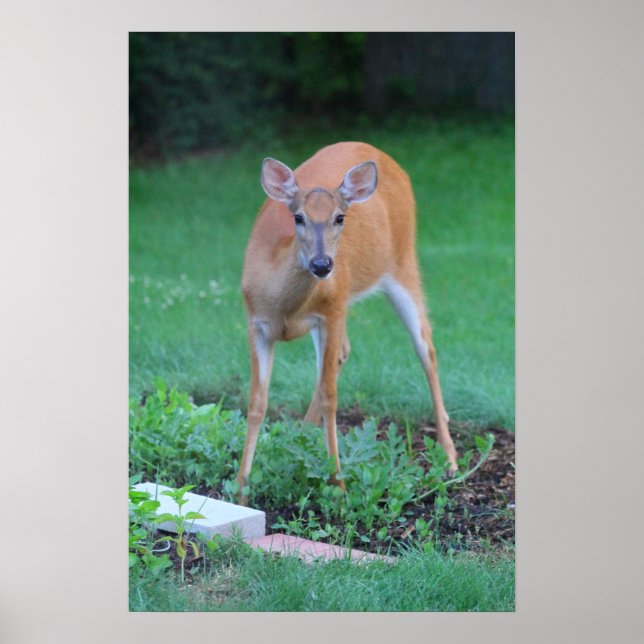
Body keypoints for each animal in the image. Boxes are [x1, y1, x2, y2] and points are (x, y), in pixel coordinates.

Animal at [236, 141, 457, 505]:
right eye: (298, 217)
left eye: (340, 217)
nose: (322, 265)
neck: (284, 308)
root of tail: (380, 153)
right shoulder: (256, 323)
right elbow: (257, 402)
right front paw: (241, 487)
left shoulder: (333, 311)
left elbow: (331, 396)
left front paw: (338, 485)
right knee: (343, 354)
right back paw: (299, 434)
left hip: (403, 263)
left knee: (427, 349)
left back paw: (450, 459)